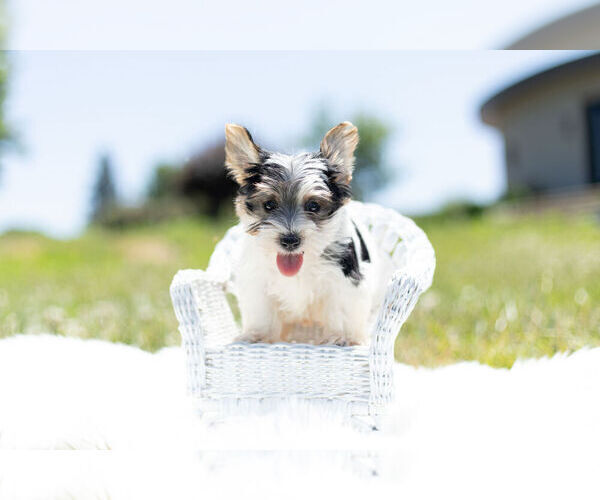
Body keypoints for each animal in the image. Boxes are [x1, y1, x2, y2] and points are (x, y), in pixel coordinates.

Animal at [225, 123, 384, 346]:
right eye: (269, 205)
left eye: (313, 206)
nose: (290, 240)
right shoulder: (258, 280)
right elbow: (262, 312)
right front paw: (258, 335)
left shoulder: (344, 282)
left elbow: (341, 309)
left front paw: (342, 337)